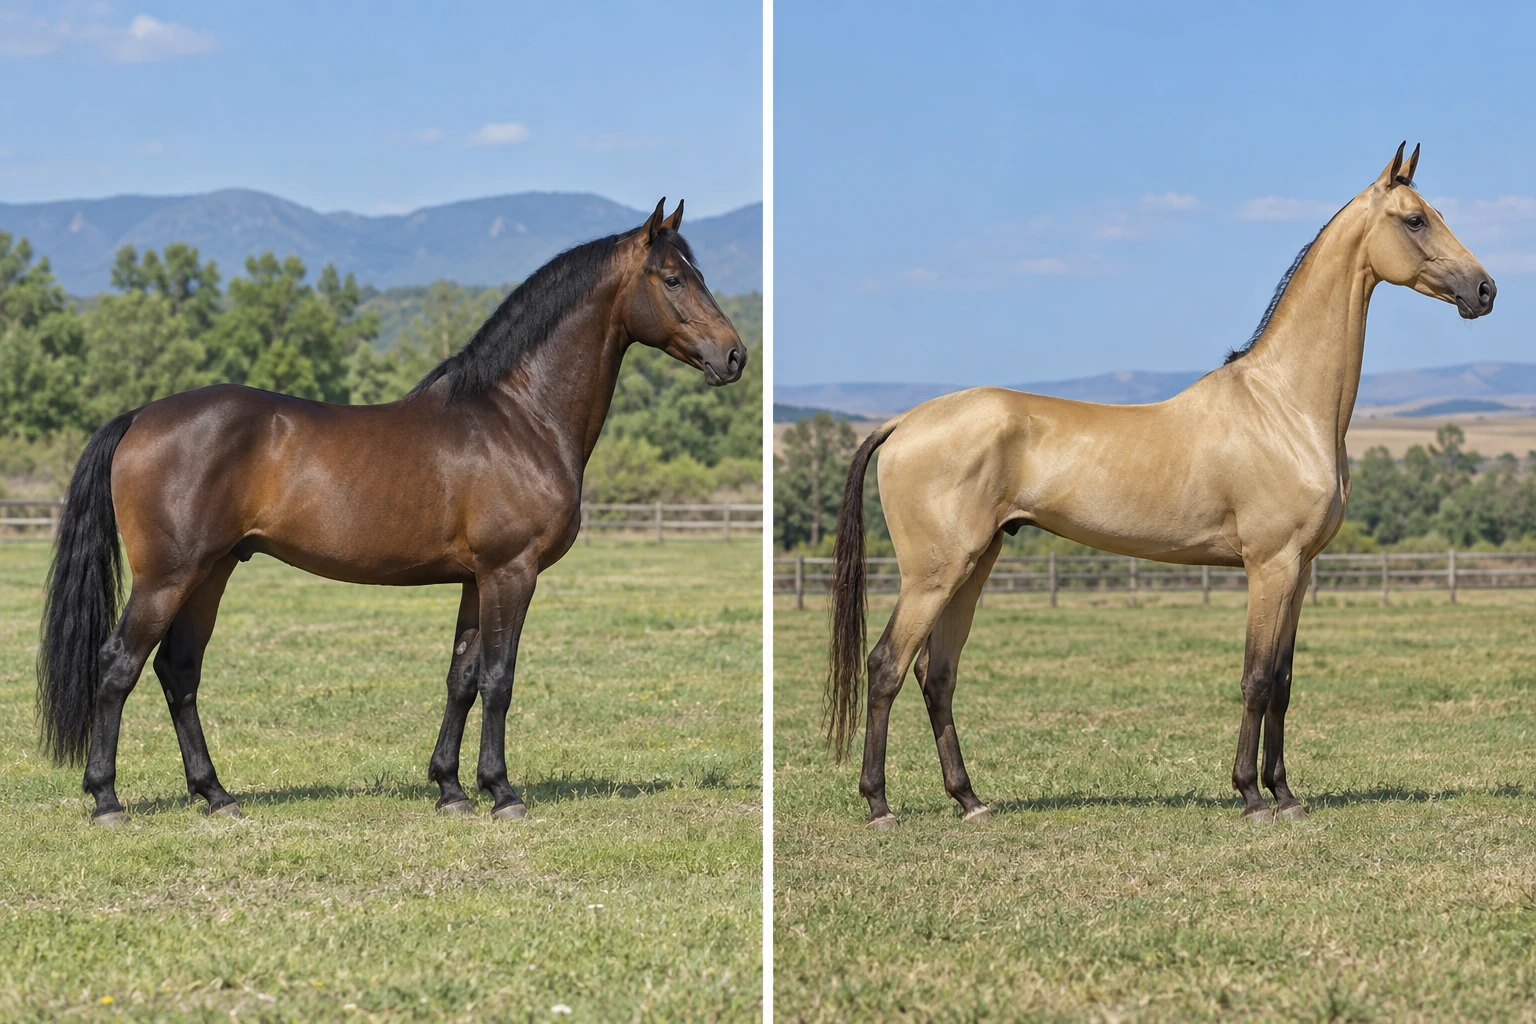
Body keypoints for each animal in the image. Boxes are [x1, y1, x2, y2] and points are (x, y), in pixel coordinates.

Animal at [38, 199, 747, 826]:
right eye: (674, 277)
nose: (735, 355)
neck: (519, 416)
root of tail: (140, 417)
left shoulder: (476, 580)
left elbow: (462, 678)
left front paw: (451, 790)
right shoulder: (511, 572)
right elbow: (499, 679)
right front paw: (503, 793)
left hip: (211, 572)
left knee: (178, 671)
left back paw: (216, 795)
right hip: (168, 576)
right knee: (118, 667)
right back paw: (107, 800)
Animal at [827, 144, 1496, 828]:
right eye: (1415, 219)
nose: (1485, 289)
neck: (1285, 406)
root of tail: (905, 422)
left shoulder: (1301, 571)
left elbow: (1283, 682)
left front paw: (1286, 795)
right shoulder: (1270, 566)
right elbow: (1256, 678)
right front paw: (1252, 797)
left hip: (975, 563)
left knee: (937, 675)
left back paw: (970, 801)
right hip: (934, 574)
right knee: (886, 666)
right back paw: (879, 804)